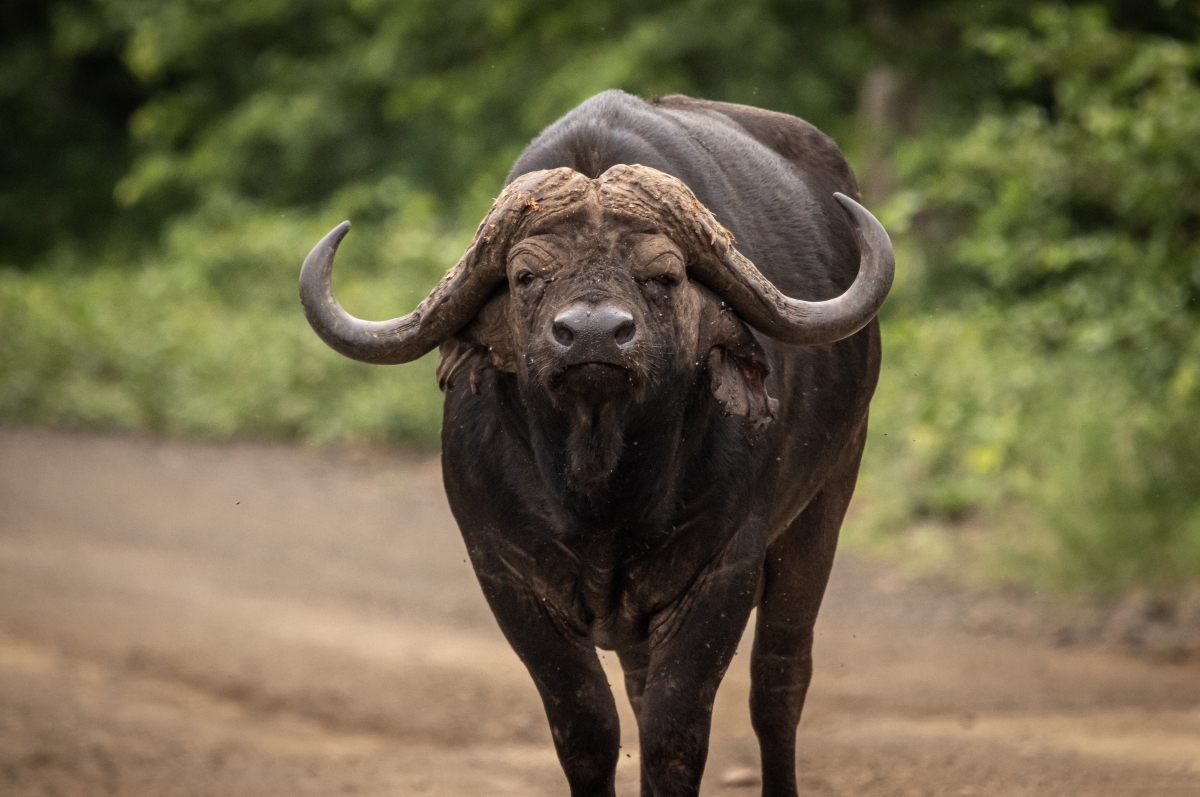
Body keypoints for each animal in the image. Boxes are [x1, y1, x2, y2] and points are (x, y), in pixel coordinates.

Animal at [300, 90, 892, 792]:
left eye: (664, 276)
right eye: (526, 277)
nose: (592, 335)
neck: (601, 486)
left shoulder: (724, 570)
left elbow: (674, 733)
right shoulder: (503, 571)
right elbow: (585, 726)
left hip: (829, 495)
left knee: (779, 681)